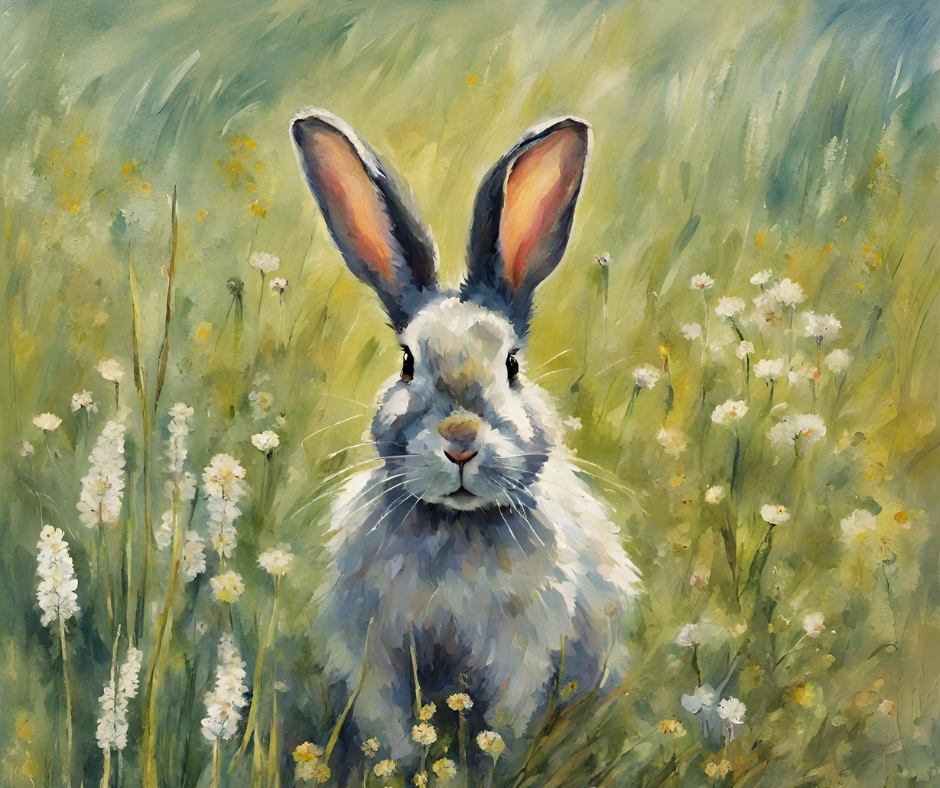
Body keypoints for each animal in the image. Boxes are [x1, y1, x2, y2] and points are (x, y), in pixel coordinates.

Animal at [290, 108, 642, 763]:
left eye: (512, 365)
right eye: (407, 363)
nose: (459, 442)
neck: (455, 524)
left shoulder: (520, 653)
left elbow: (500, 727)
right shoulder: (375, 653)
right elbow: (389, 729)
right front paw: (399, 766)